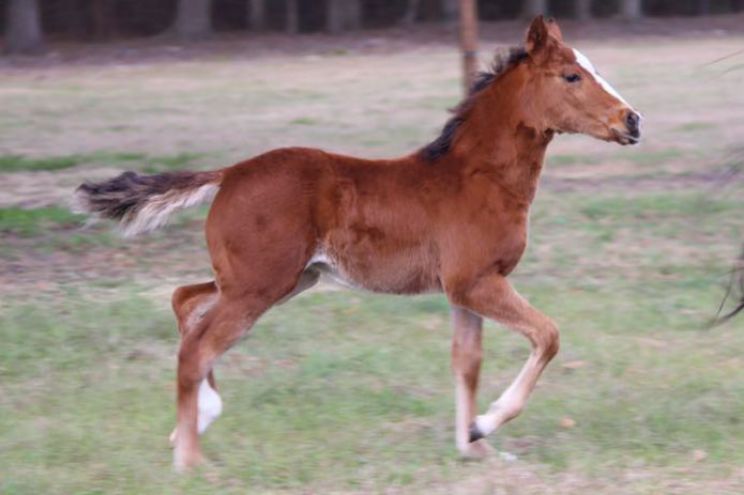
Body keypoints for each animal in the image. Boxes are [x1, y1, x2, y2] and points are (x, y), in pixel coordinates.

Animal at [75, 16, 644, 472]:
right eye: (572, 76)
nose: (632, 120)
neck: (478, 177)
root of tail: (229, 173)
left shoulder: (466, 289)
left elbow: (467, 362)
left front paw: (474, 446)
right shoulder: (476, 282)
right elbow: (547, 335)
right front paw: (485, 425)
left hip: (274, 279)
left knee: (185, 302)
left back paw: (193, 424)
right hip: (260, 284)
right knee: (197, 345)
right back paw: (190, 460)